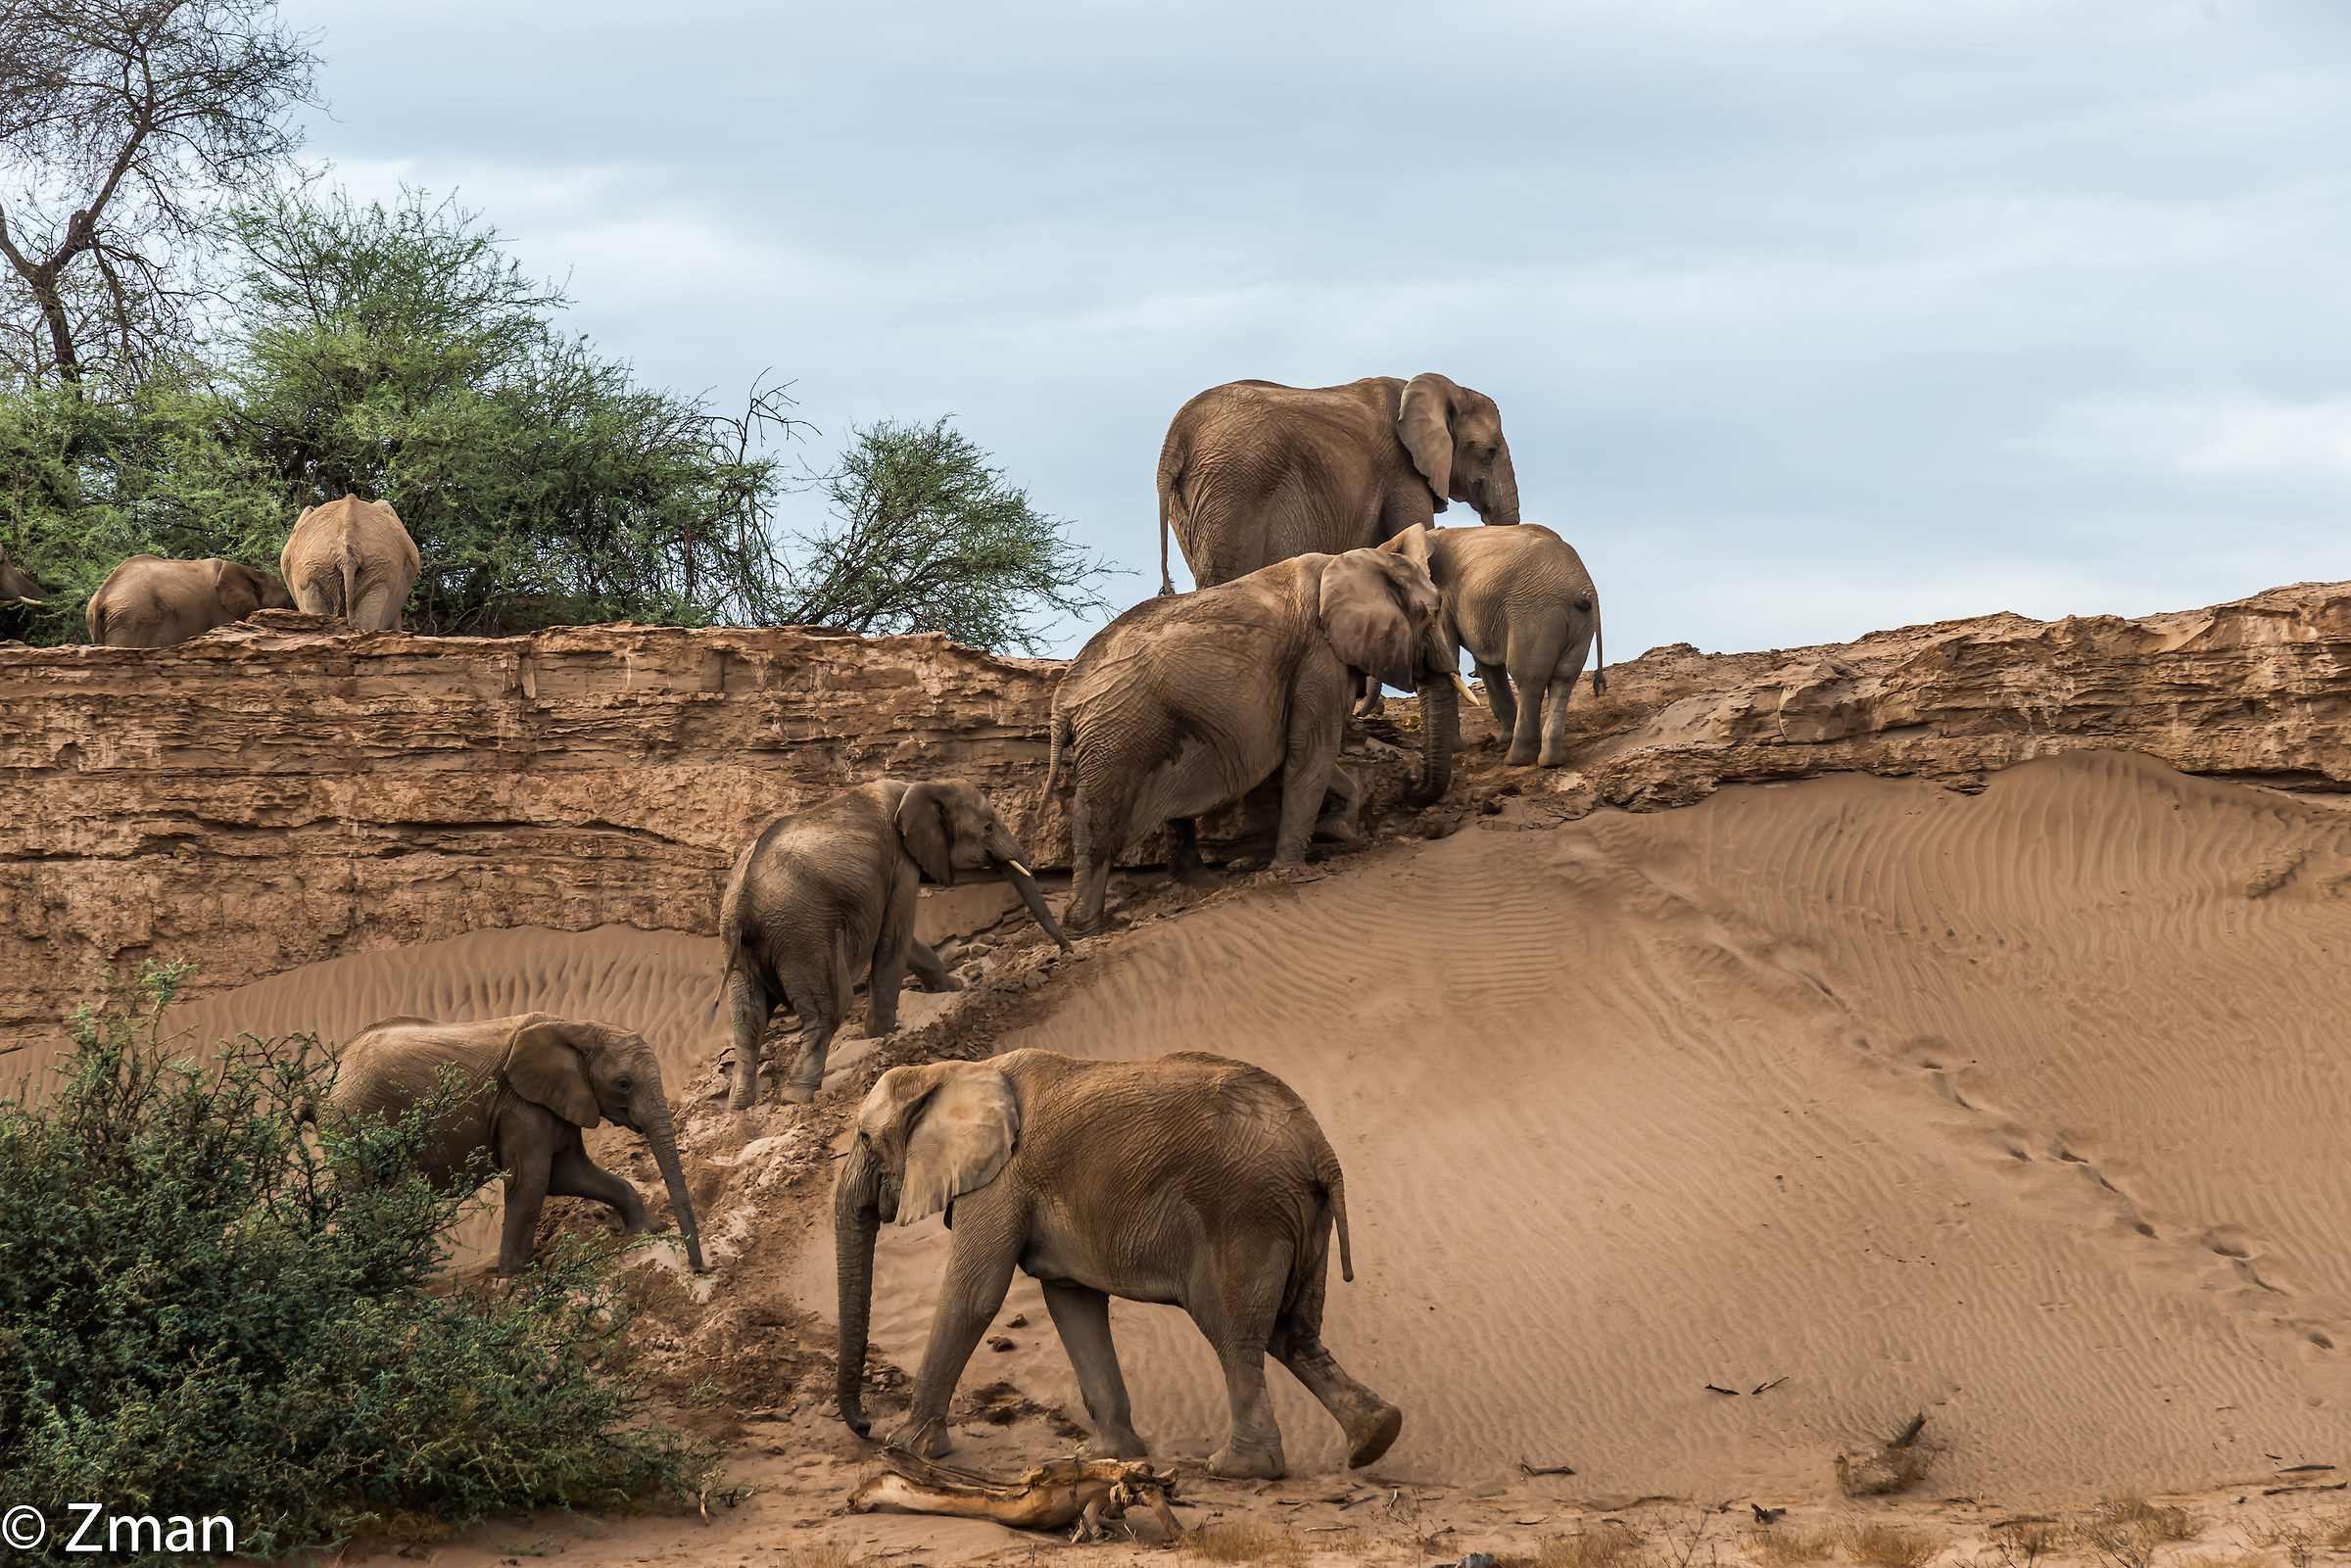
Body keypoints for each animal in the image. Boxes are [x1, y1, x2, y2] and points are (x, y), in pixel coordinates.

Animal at [321, 1011, 703, 1278]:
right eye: (624, 1084)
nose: (698, 1269)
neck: (577, 1027)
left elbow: (570, 1175)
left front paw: (647, 1230)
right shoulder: (521, 1104)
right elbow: (532, 1179)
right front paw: (517, 1276)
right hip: (351, 1119)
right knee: (367, 1197)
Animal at [719, 778, 1071, 1109]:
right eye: (987, 827)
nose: (1067, 952)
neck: (925, 785)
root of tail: (743, 902)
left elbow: (905, 940)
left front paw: (951, 989)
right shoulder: (900, 861)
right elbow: (894, 936)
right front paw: (884, 1035)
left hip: (739, 943)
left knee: (748, 1020)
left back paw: (740, 1106)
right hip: (803, 932)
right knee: (829, 1010)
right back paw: (798, 1098)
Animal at [835, 1047, 1401, 1480]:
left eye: (864, 1139)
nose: (864, 1427)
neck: (955, 1071)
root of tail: (1321, 1151)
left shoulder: (1001, 1182)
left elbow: (973, 1297)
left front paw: (906, 1447)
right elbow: (1072, 1303)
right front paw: (1104, 1456)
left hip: (1245, 1214)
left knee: (1234, 1334)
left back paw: (1237, 1469)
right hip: (1304, 1217)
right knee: (1293, 1333)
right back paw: (1375, 1438)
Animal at [1045, 549, 1465, 936]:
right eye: (1428, 615)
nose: (1411, 780)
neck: (1357, 560)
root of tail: (1063, 700)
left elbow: (1302, 758)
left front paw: (1337, 832)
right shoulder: (1318, 656)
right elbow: (1311, 753)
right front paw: (1289, 870)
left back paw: (1201, 887)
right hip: (1118, 728)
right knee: (1100, 823)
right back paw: (1085, 931)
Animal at [1380, 523, 1606, 768]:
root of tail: (1584, 589)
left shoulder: (1441, 600)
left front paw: (1455, 749)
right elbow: (1487, 665)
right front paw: (1502, 739)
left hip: (1536, 614)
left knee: (1529, 678)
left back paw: (1517, 759)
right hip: (1579, 622)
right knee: (1564, 677)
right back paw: (1550, 760)